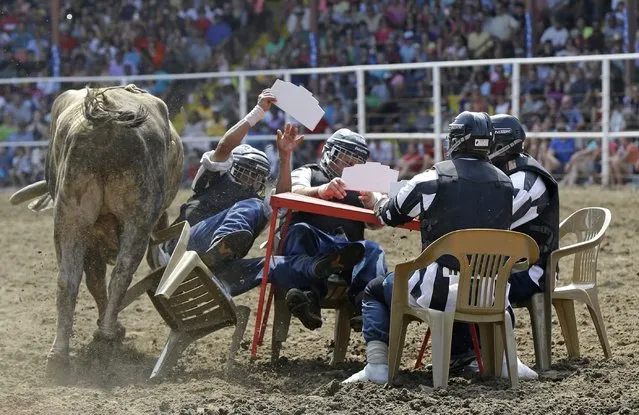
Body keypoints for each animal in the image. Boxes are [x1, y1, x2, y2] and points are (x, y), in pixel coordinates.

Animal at [10, 84, 185, 376]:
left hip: (70, 217)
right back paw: (106, 336)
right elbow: (98, 280)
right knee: (121, 273)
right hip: (136, 219)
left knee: (67, 280)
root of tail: (106, 125)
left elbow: (92, 279)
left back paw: (60, 356)